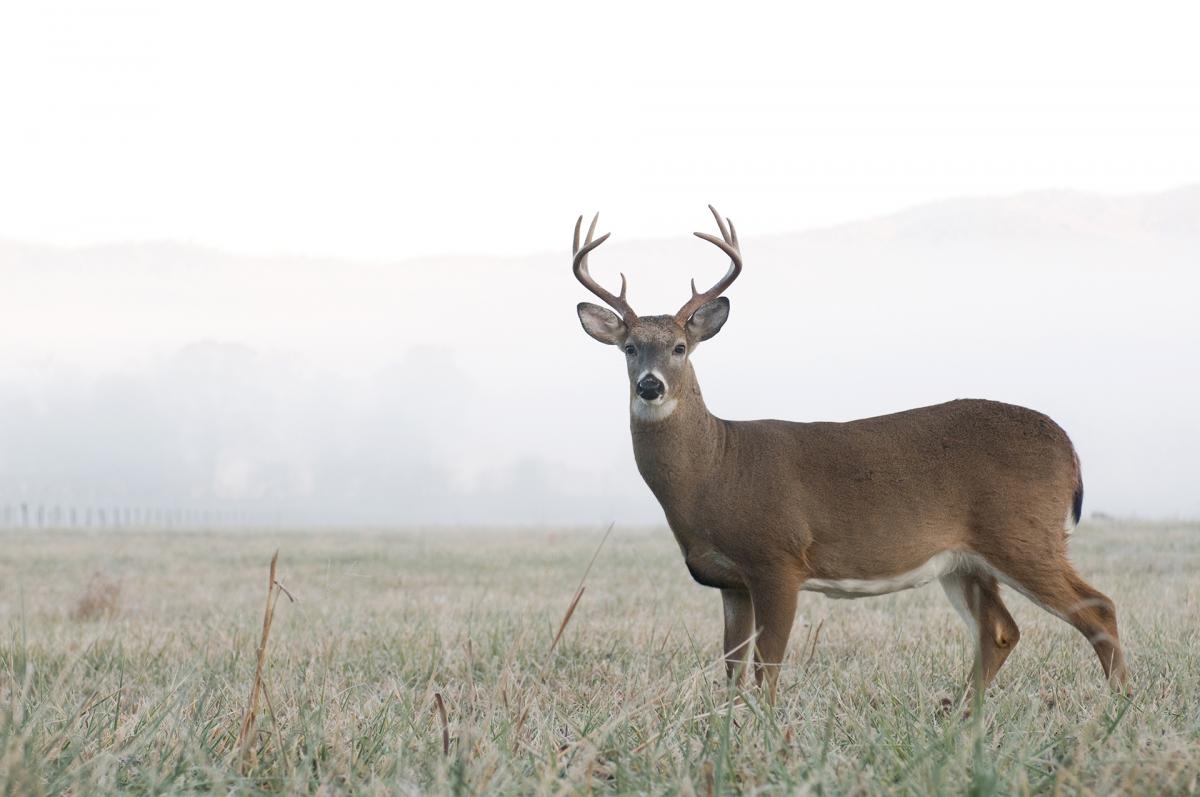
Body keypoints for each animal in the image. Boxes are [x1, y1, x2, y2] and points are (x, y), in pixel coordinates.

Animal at [572, 206, 1128, 703]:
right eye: (629, 349)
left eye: (681, 347)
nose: (650, 385)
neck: (714, 469)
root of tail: (1068, 447)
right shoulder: (730, 580)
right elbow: (731, 669)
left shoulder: (778, 558)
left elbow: (767, 668)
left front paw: (766, 732)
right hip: (965, 560)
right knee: (1001, 631)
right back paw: (962, 716)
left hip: (1023, 534)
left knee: (1098, 608)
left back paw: (1119, 704)